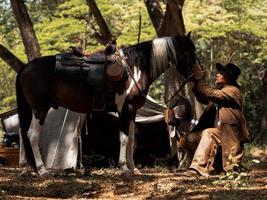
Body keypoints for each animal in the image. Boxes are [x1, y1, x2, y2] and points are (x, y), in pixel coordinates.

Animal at [16, 33, 197, 177]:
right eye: (187, 52)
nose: (194, 76)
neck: (134, 69)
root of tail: (26, 67)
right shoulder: (125, 110)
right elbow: (124, 138)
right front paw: (124, 168)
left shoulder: (132, 112)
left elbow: (132, 140)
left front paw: (134, 168)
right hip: (40, 109)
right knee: (32, 135)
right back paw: (43, 171)